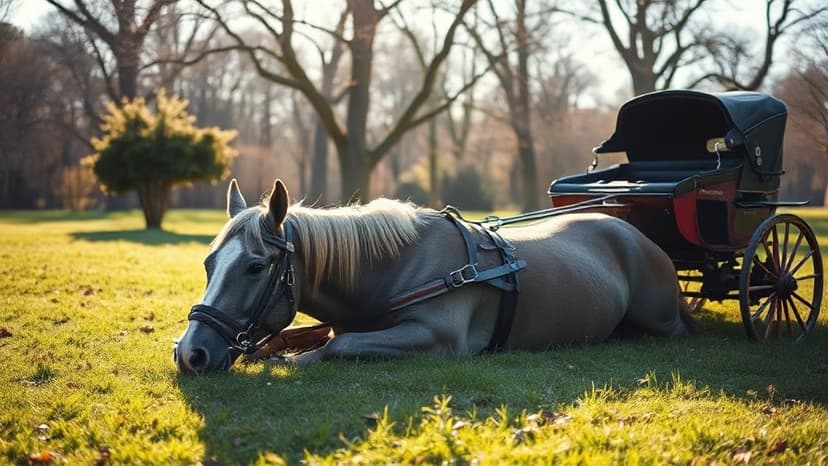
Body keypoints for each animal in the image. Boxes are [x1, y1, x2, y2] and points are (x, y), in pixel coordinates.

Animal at [173, 179, 692, 373]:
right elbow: (295, 336)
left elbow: (336, 347)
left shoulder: (436, 339)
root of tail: (628, 229)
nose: (190, 352)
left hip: (663, 321)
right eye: (209, 263)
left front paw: (295, 360)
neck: (391, 268)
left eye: (255, 266)